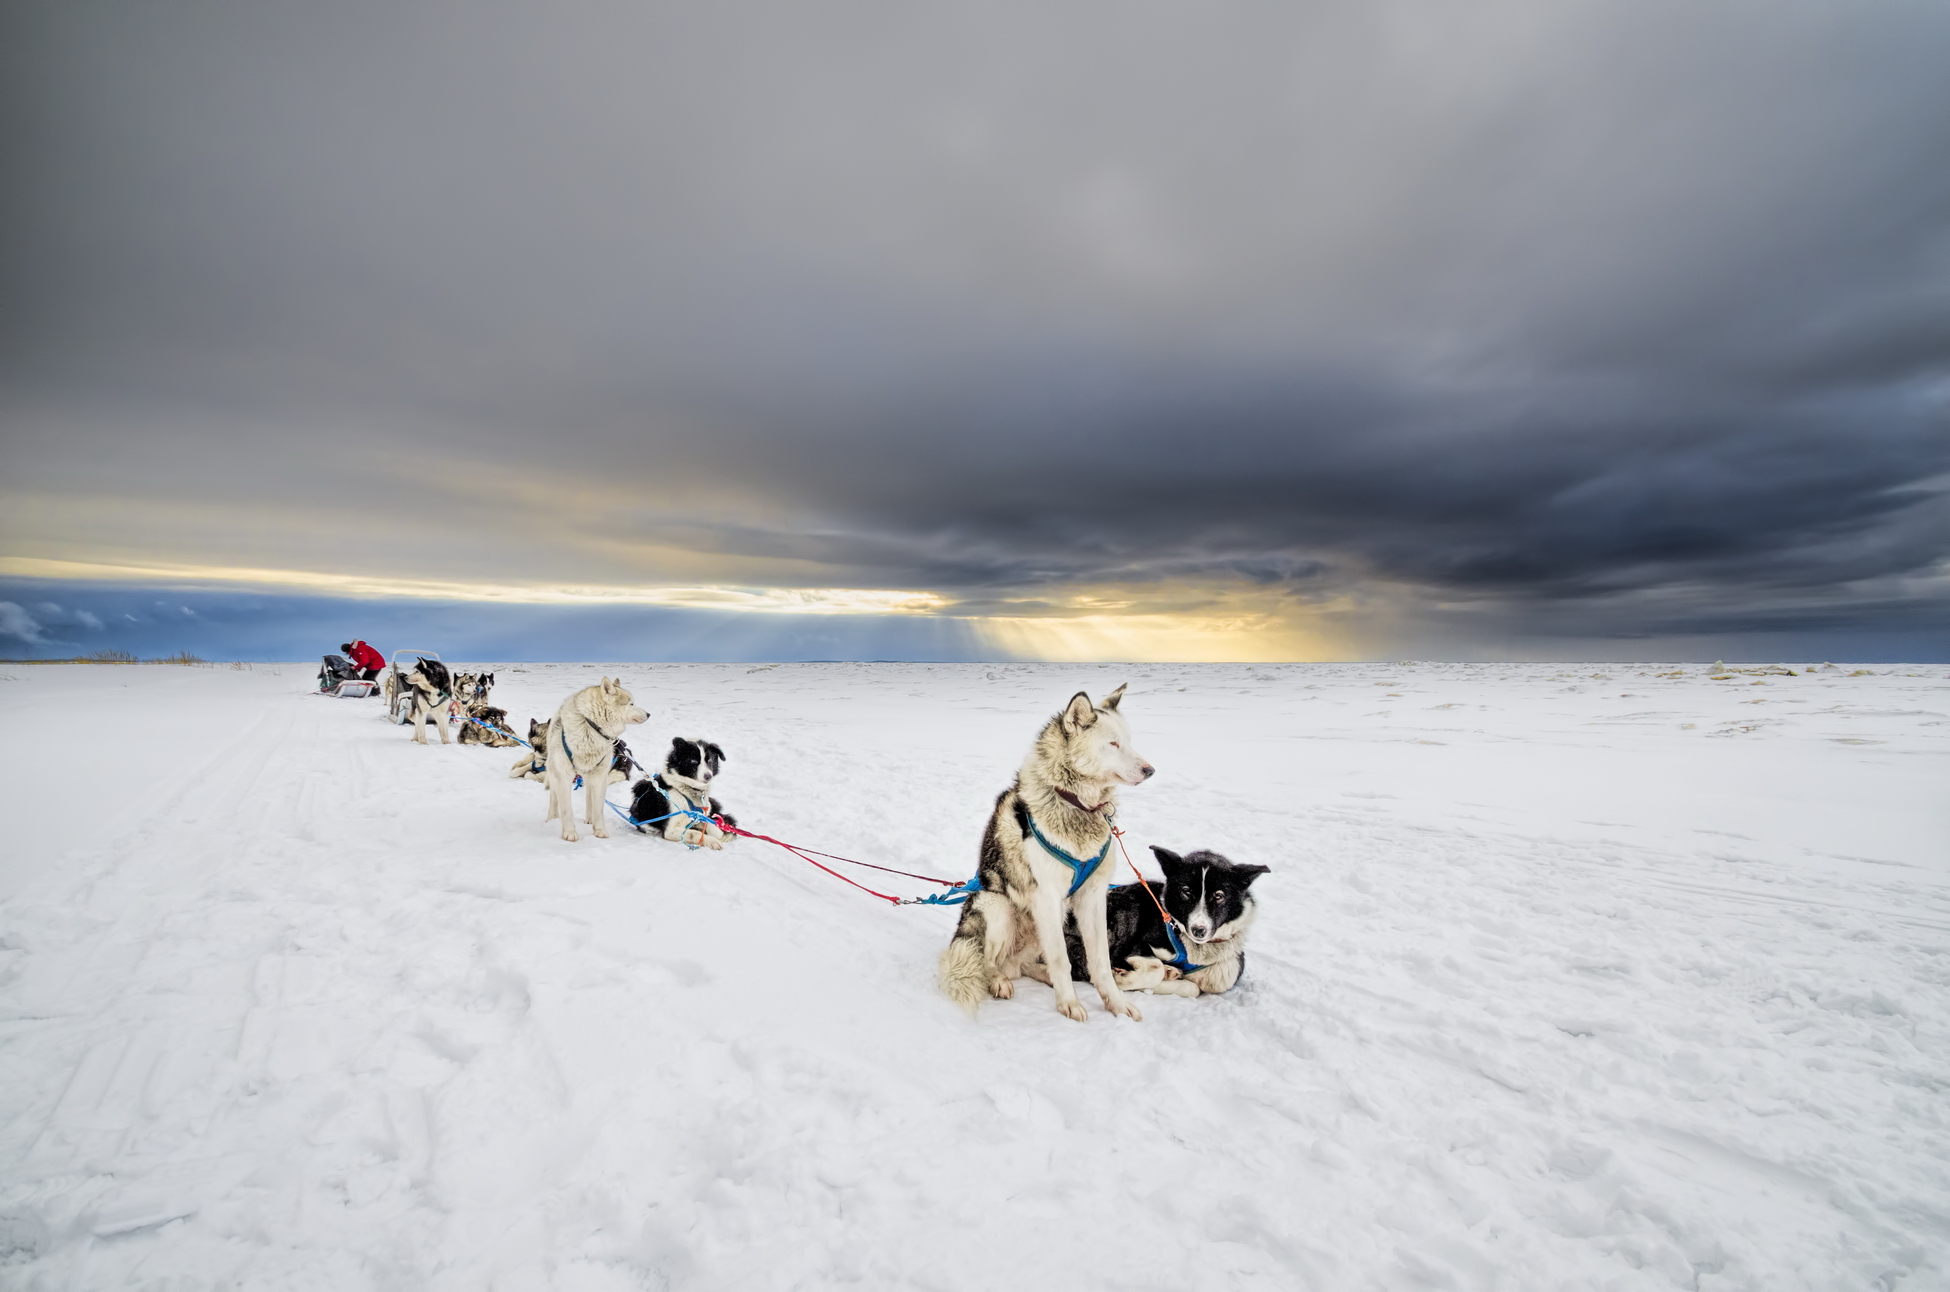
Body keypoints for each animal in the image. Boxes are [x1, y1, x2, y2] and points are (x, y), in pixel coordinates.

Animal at [1060, 849, 1271, 997]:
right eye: (1186, 891)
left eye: (1219, 896)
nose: (1198, 930)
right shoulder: (1134, 947)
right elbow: (1155, 969)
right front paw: (1126, 978)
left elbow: (1192, 988)